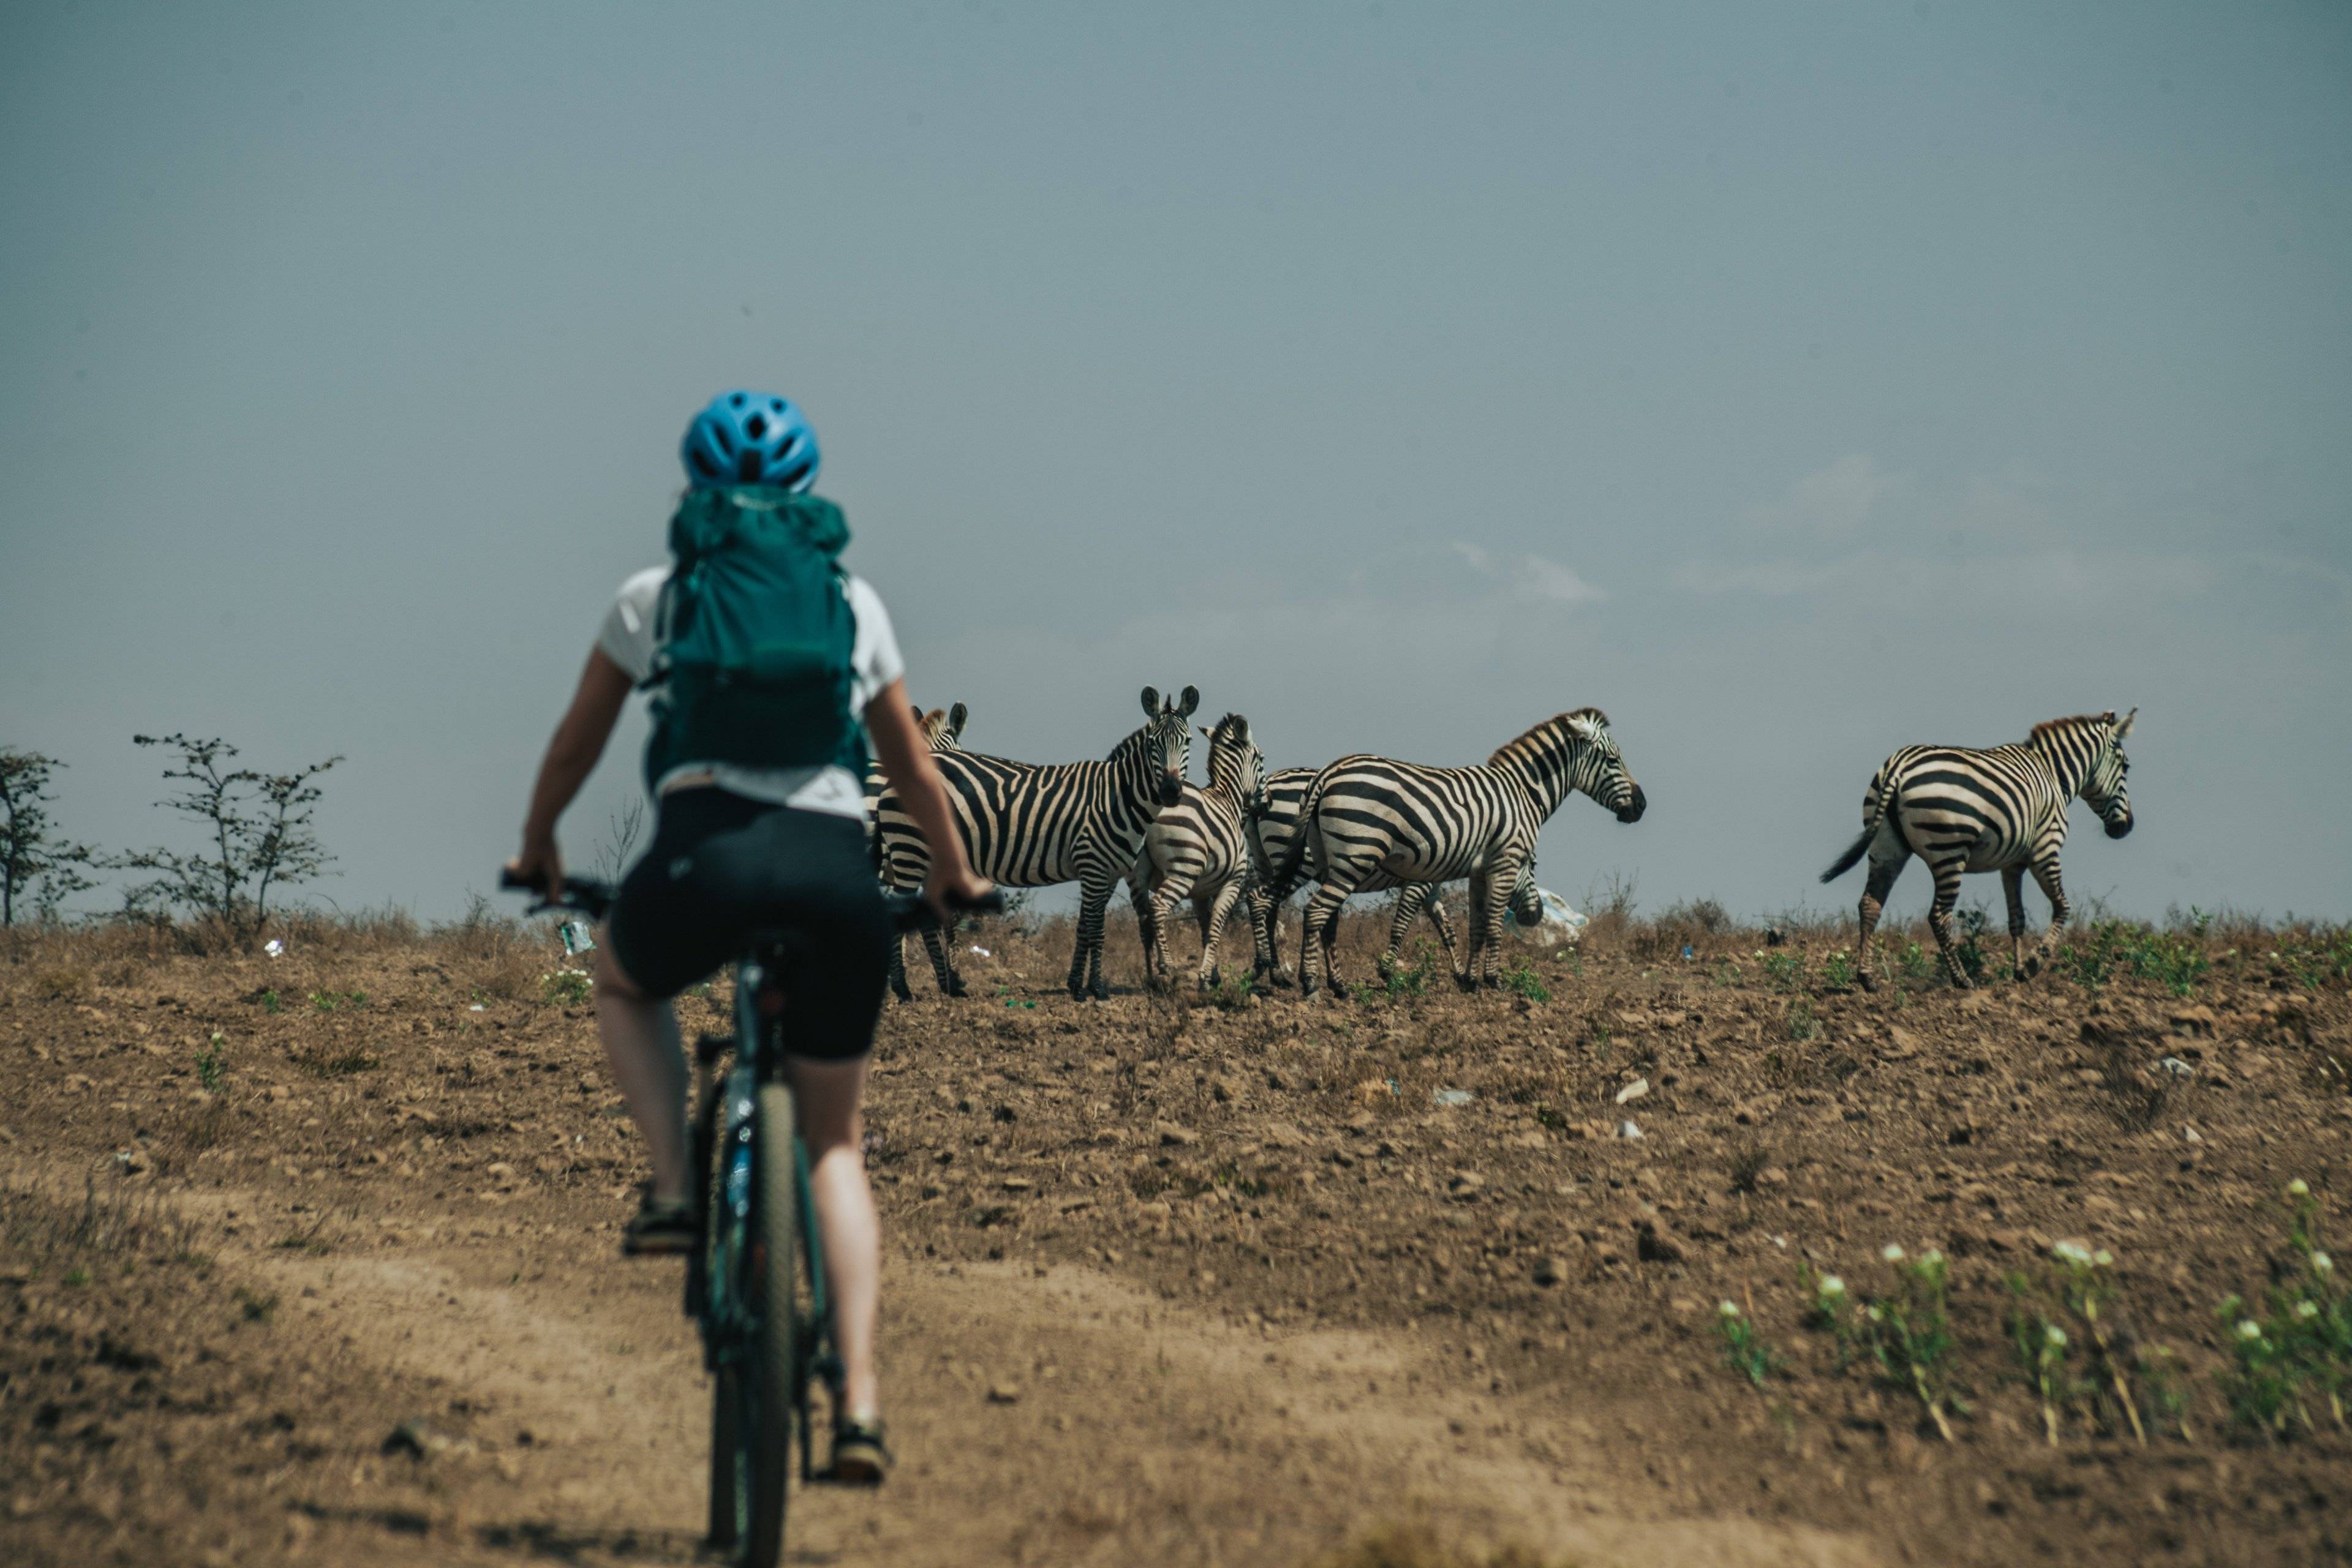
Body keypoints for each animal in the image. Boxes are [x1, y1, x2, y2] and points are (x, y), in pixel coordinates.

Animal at [875, 686, 1194, 1006]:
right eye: (1153, 744)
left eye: (1188, 741)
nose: (1171, 791)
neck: (1115, 798)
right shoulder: (1092, 864)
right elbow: (1096, 929)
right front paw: (1097, 989)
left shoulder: (1109, 873)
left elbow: (1084, 927)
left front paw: (1076, 986)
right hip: (910, 849)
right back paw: (904, 989)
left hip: (927, 856)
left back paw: (945, 986)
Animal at [1124, 714, 1270, 992]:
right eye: (1261, 759)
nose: (1267, 804)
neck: (1229, 798)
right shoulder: (1233, 883)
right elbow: (1215, 928)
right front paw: (1205, 979)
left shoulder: (1199, 893)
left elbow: (1204, 930)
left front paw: (1213, 975)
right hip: (1183, 870)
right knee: (1158, 907)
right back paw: (1166, 967)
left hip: (1137, 876)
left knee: (1144, 919)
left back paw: (1151, 977)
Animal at [1232, 771, 1543, 992]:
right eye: (1532, 865)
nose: (1537, 914)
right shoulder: (1417, 885)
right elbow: (1401, 925)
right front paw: (1389, 972)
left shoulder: (1431, 889)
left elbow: (1448, 932)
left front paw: (1460, 975)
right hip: (1297, 864)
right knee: (1264, 902)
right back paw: (1271, 969)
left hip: (1267, 862)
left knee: (1269, 909)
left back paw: (1275, 974)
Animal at [1279, 710, 1646, 1001]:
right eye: (1613, 761)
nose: (1642, 806)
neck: (1523, 791)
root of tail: (1327, 773)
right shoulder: (1503, 860)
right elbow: (1493, 924)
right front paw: (1494, 980)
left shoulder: (1477, 871)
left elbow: (1475, 927)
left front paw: (1469, 981)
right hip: (1352, 858)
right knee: (1313, 912)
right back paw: (1308, 984)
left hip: (1330, 862)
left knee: (1326, 919)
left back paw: (1337, 986)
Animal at [1815, 710, 2135, 992]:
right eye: (2126, 767)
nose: (2127, 827)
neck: (2053, 775)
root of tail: (1899, 766)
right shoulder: (2046, 849)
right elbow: (2063, 907)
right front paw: (2035, 964)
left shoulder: (2012, 864)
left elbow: (2017, 918)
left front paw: (2019, 973)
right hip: (1949, 849)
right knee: (1939, 915)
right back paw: (1962, 980)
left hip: (1886, 847)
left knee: (1871, 904)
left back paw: (1867, 979)